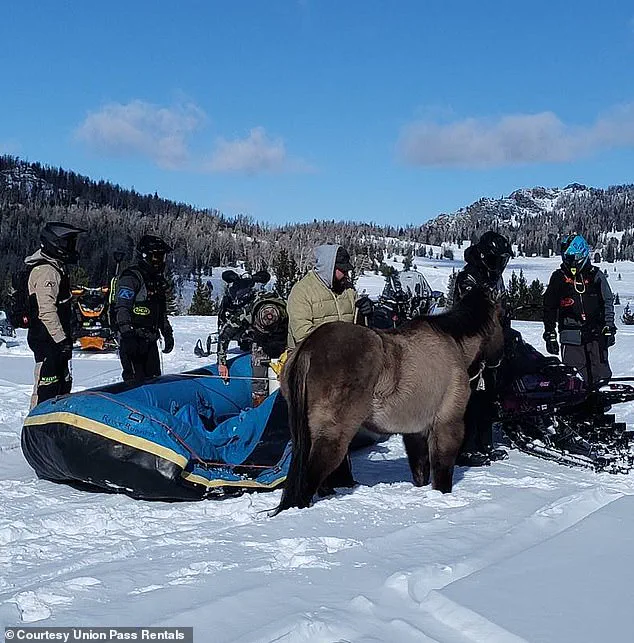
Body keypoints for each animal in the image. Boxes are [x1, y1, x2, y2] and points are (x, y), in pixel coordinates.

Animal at [272, 286, 505, 515]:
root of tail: (309, 347)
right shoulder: (447, 425)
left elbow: (420, 471)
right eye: (502, 318)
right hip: (333, 436)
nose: (501, 357)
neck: (450, 342)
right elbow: (442, 473)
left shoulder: (415, 432)